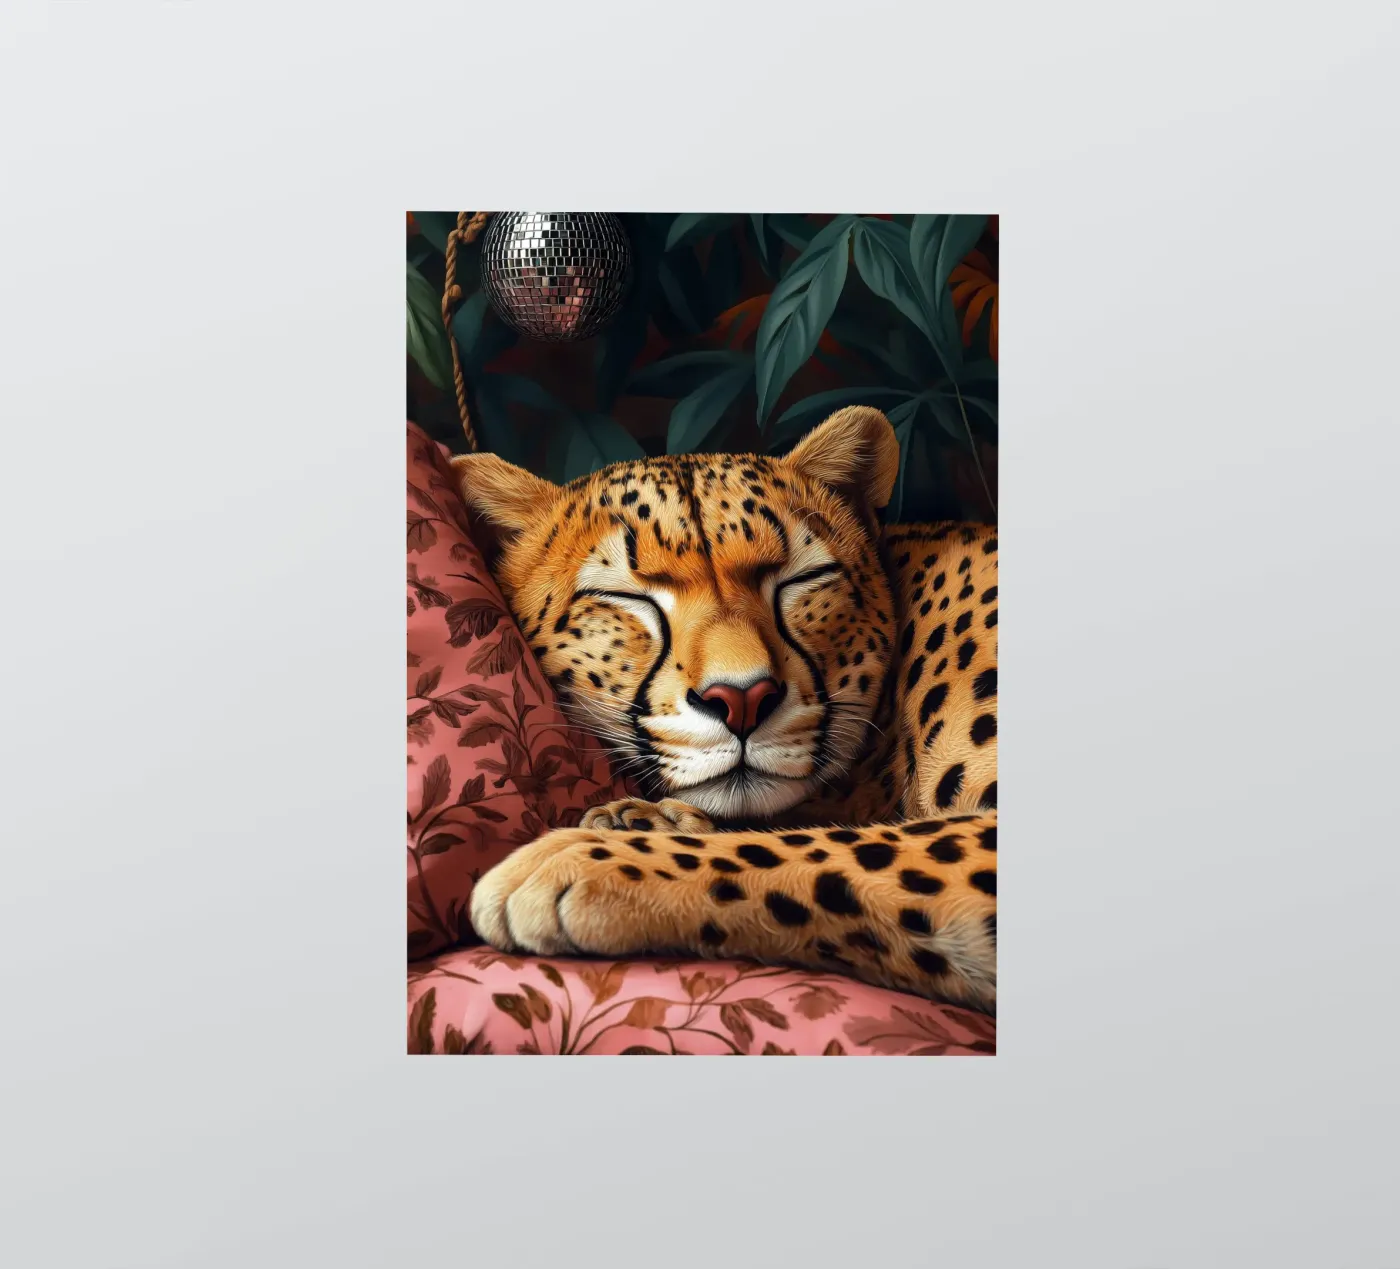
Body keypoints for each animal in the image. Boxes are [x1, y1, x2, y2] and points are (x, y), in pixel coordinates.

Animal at [451, 406, 997, 1012]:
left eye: (801, 580)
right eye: (627, 598)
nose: (741, 700)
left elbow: (831, 849)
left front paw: (580, 858)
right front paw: (643, 821)